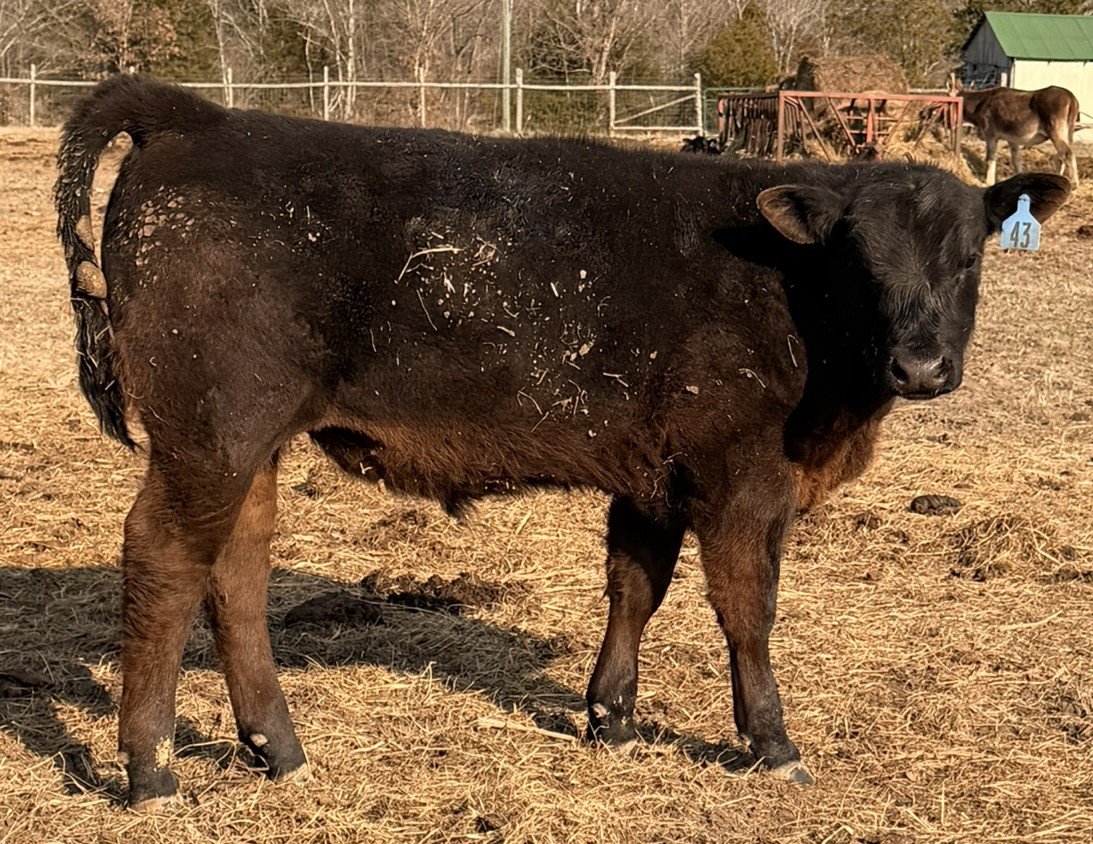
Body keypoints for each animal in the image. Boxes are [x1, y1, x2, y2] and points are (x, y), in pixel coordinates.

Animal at [55, 75, 1069, 811]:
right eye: (861, 261)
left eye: (970, 256)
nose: (922, 365)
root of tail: (199, 118)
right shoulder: (739, 478)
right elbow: (747, 610)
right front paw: (772, 742)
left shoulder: (653, 473)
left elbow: (634, 587)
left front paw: (609, 717)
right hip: (208, 434)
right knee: (164, 562)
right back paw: (150, 771)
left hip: (249, 444)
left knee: (235, 573)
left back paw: (281, 749)